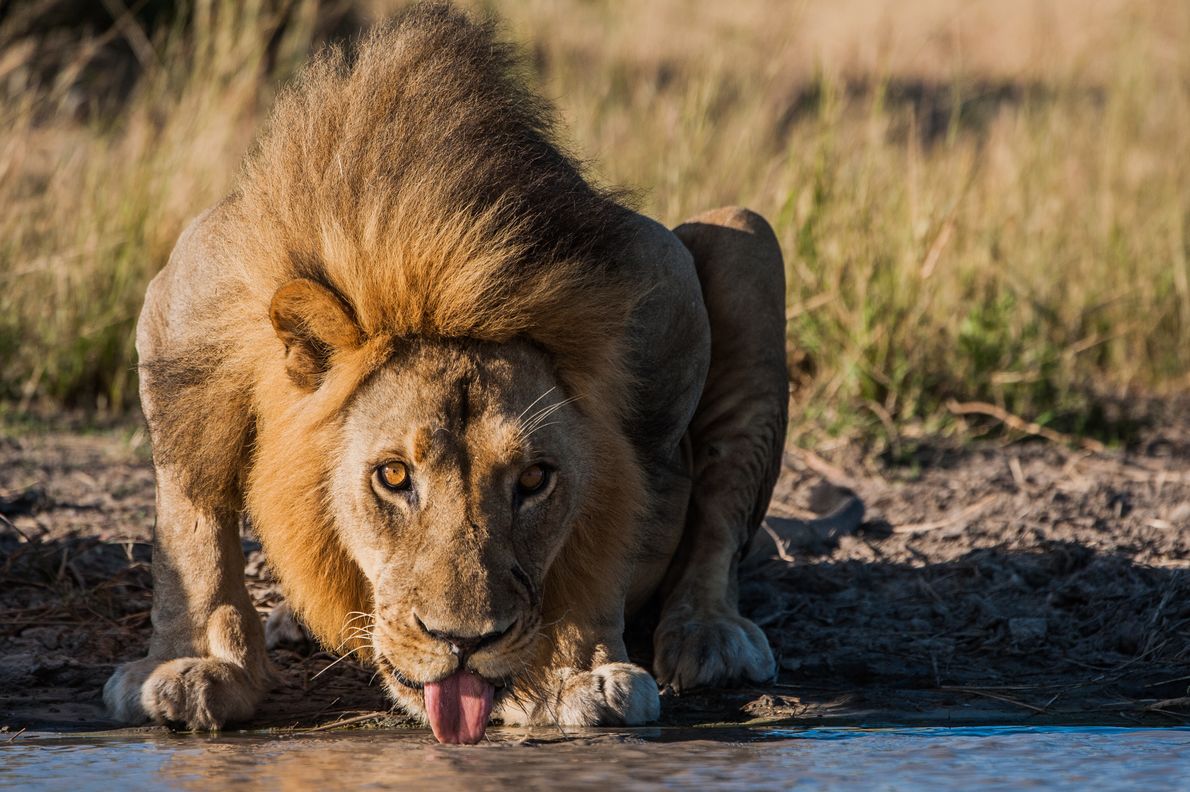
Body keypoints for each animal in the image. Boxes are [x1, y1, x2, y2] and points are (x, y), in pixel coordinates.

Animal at [102, 3, 790, 742]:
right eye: (392, 476)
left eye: (535, 480)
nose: (464, 642)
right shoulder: (182, 312)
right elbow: (191, 520)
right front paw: (196, 667)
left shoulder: (660, 289)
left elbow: (611, 525)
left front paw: (577, 672)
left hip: (746, 237)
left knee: (720, 522)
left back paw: (710, 635)